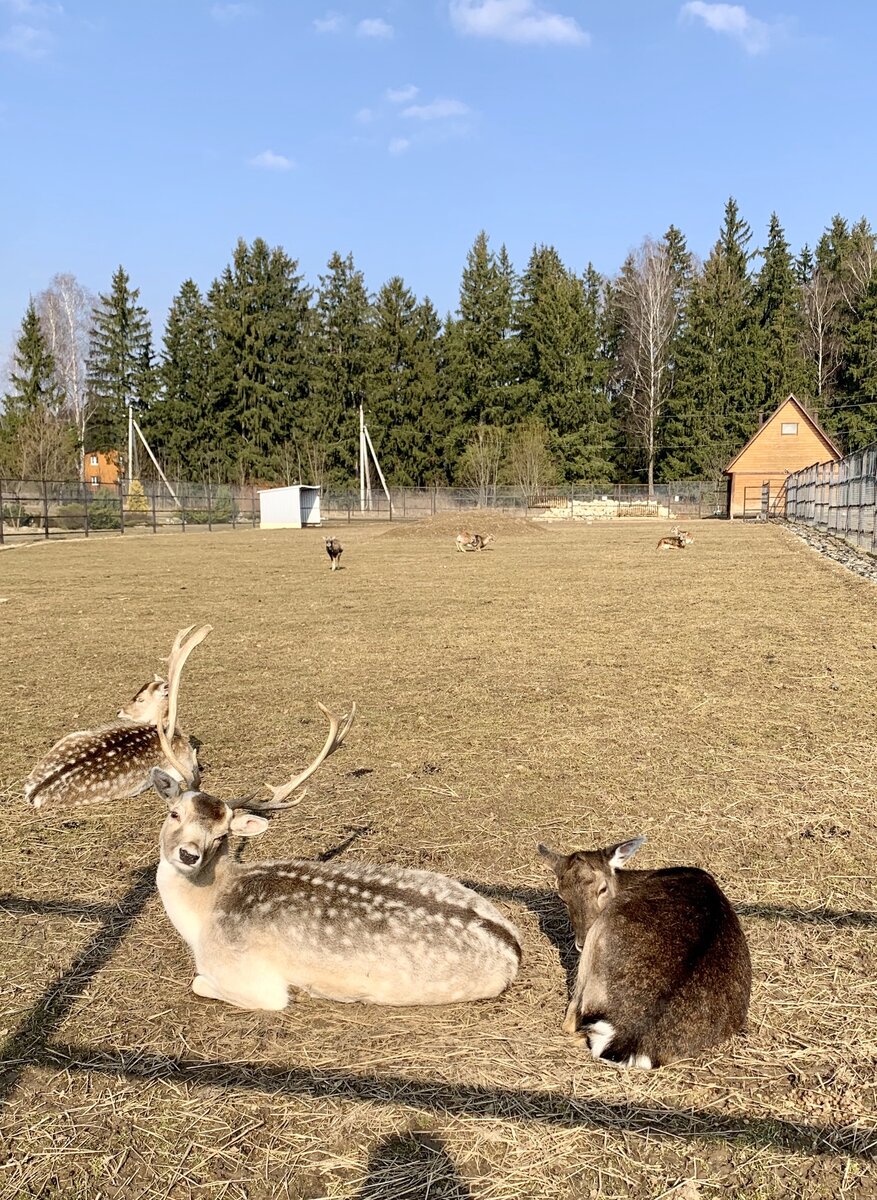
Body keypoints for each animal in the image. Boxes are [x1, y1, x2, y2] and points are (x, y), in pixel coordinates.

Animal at [149, 700, 520, 1012]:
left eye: (222, 835)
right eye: (174, 813)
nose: (188, 854)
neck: (202, 919)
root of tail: (514, 948)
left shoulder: (254, 983)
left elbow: (198, 982)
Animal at [537, 835, 753, 1070]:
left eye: (602, 889)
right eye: (562, 897)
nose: (581, 943)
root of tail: (626, 1039)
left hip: (600, 934)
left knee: (570, 1020)